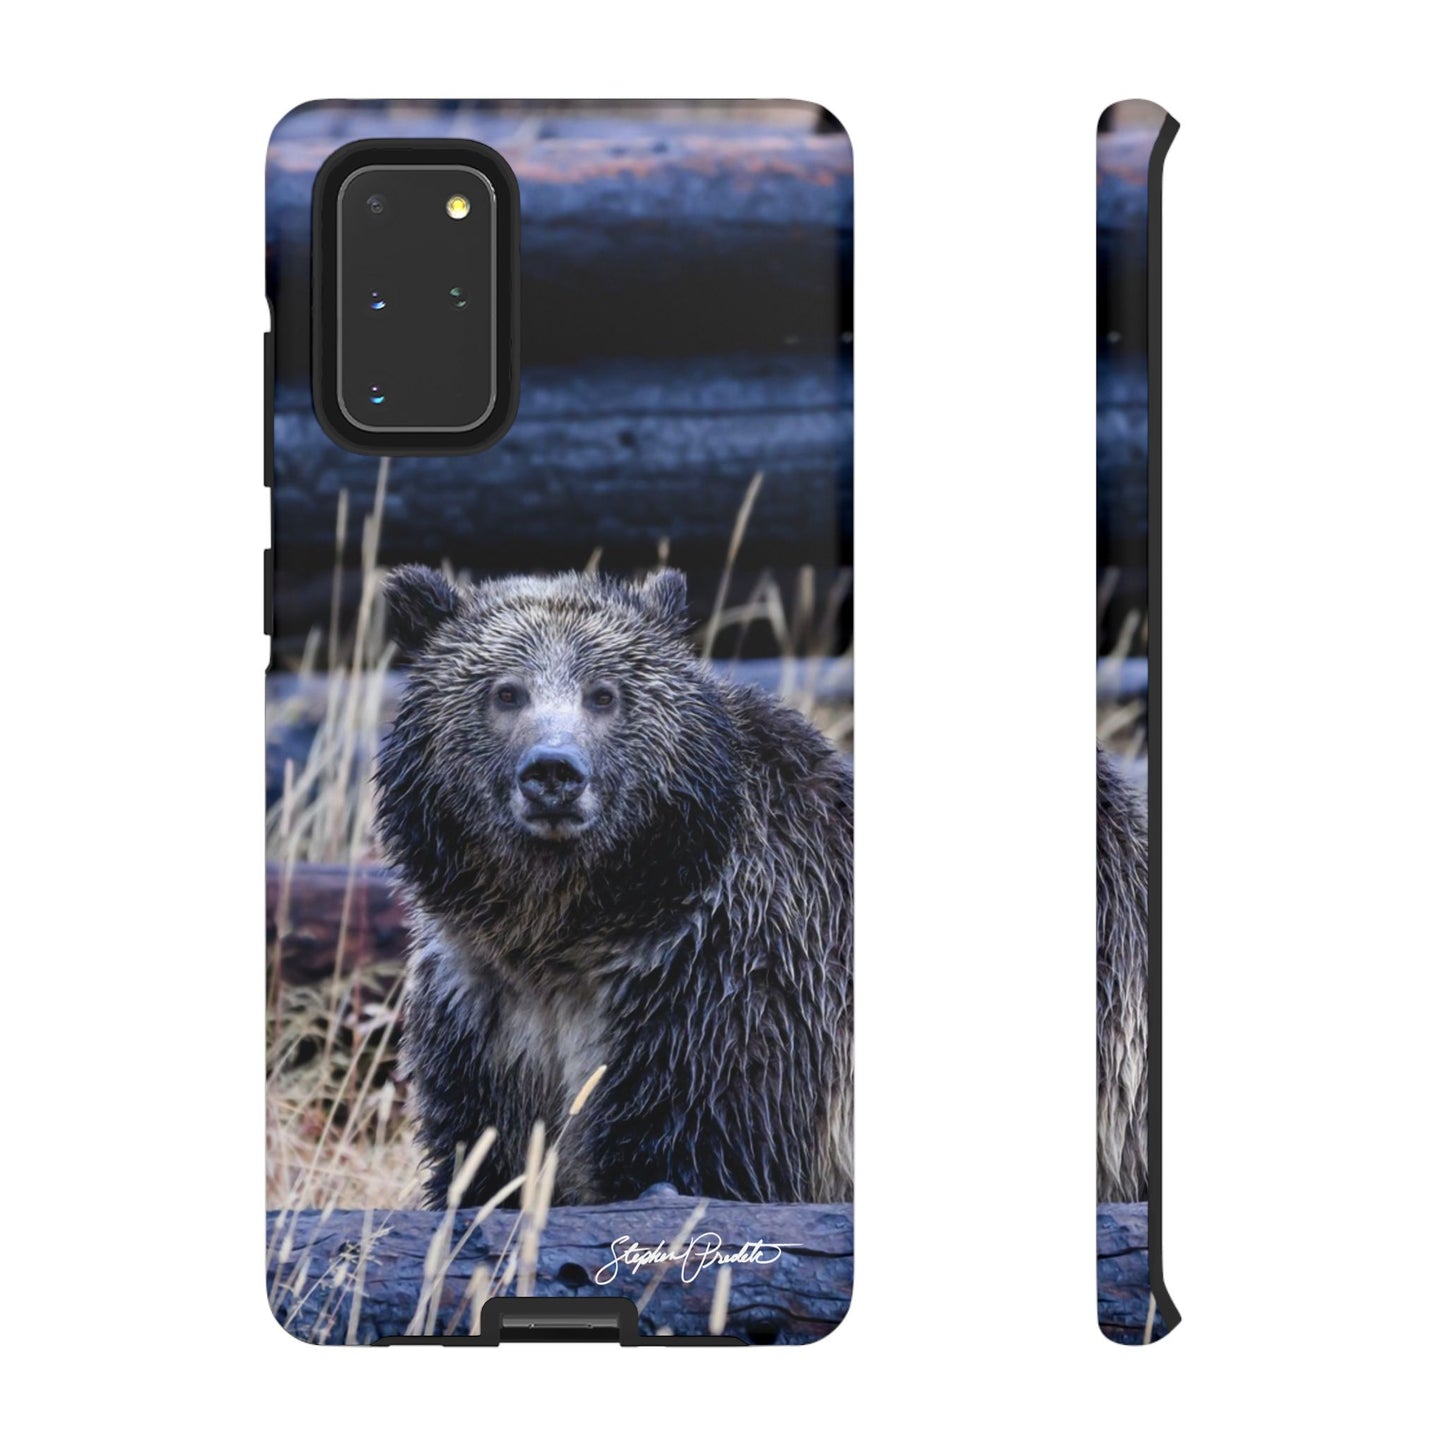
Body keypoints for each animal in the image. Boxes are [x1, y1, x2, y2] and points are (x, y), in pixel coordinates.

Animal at [375, 566, 853, 1210]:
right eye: (507, 692)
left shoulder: (724, 988)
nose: (553, 772)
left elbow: (706, 1150)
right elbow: (481, 1158)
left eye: (603, 694)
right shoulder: (481, 1009)